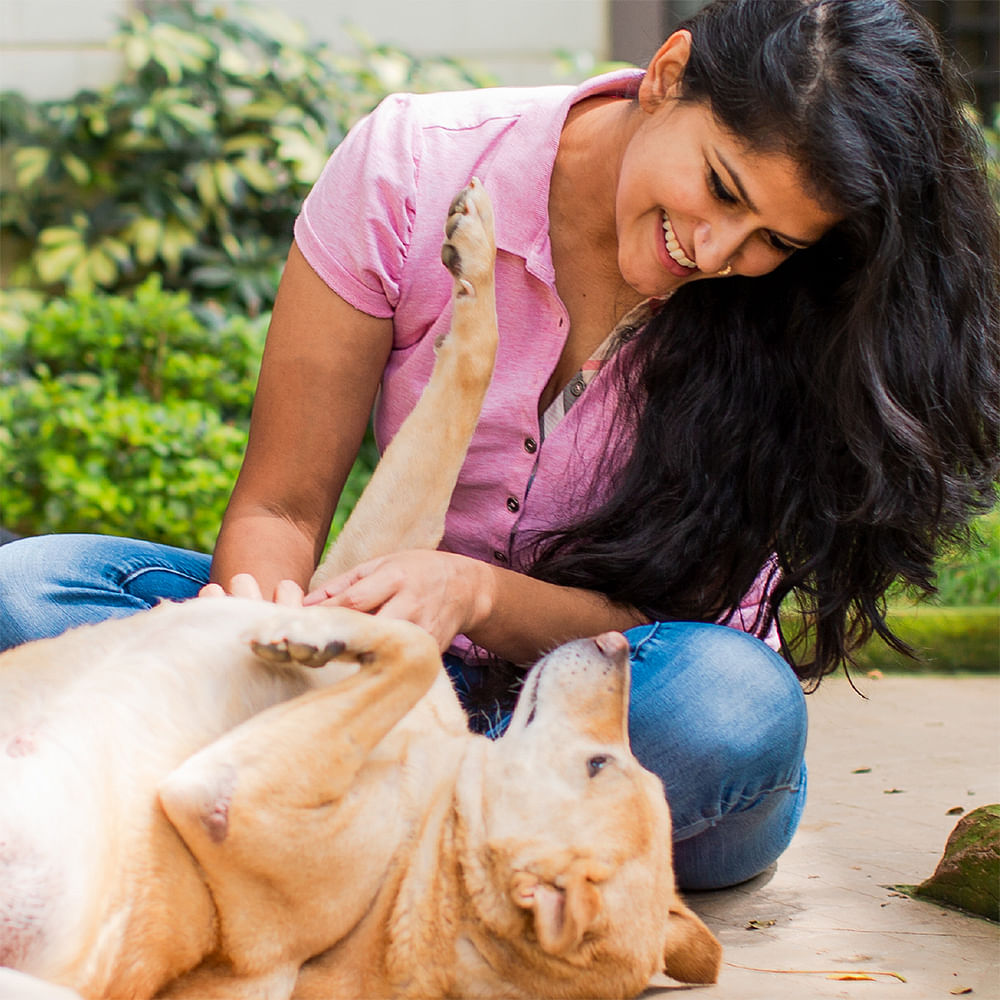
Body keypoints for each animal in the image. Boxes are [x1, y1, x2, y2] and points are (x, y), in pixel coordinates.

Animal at [0, 182, 720, 1000]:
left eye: (605, 765)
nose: (615, 645)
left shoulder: (226, 796)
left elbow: (409, 642)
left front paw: (308, 637)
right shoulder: (377, 549)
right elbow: (469, 375)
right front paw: (478, 253)